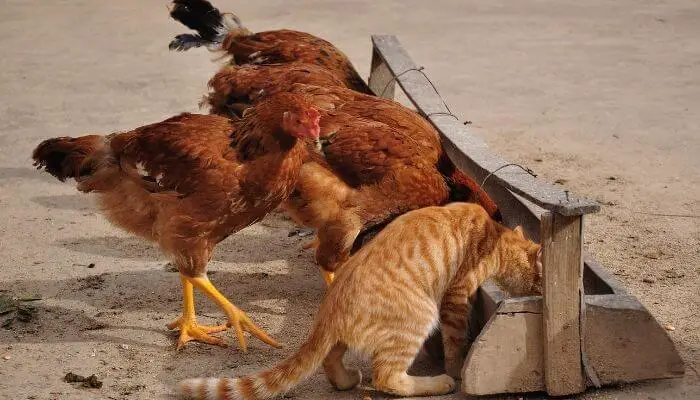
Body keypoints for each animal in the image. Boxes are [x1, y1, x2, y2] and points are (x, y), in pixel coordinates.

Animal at [179, 205, 540, 398]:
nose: (535, 291)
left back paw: (346, 380)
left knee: (330, 360)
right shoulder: (457, 295)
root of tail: (330, 308)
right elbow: (456, 340)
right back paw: (438, 383)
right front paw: (456, 366)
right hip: (420, 316)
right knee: (387, 378)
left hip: (349, 335)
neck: (495, 235)